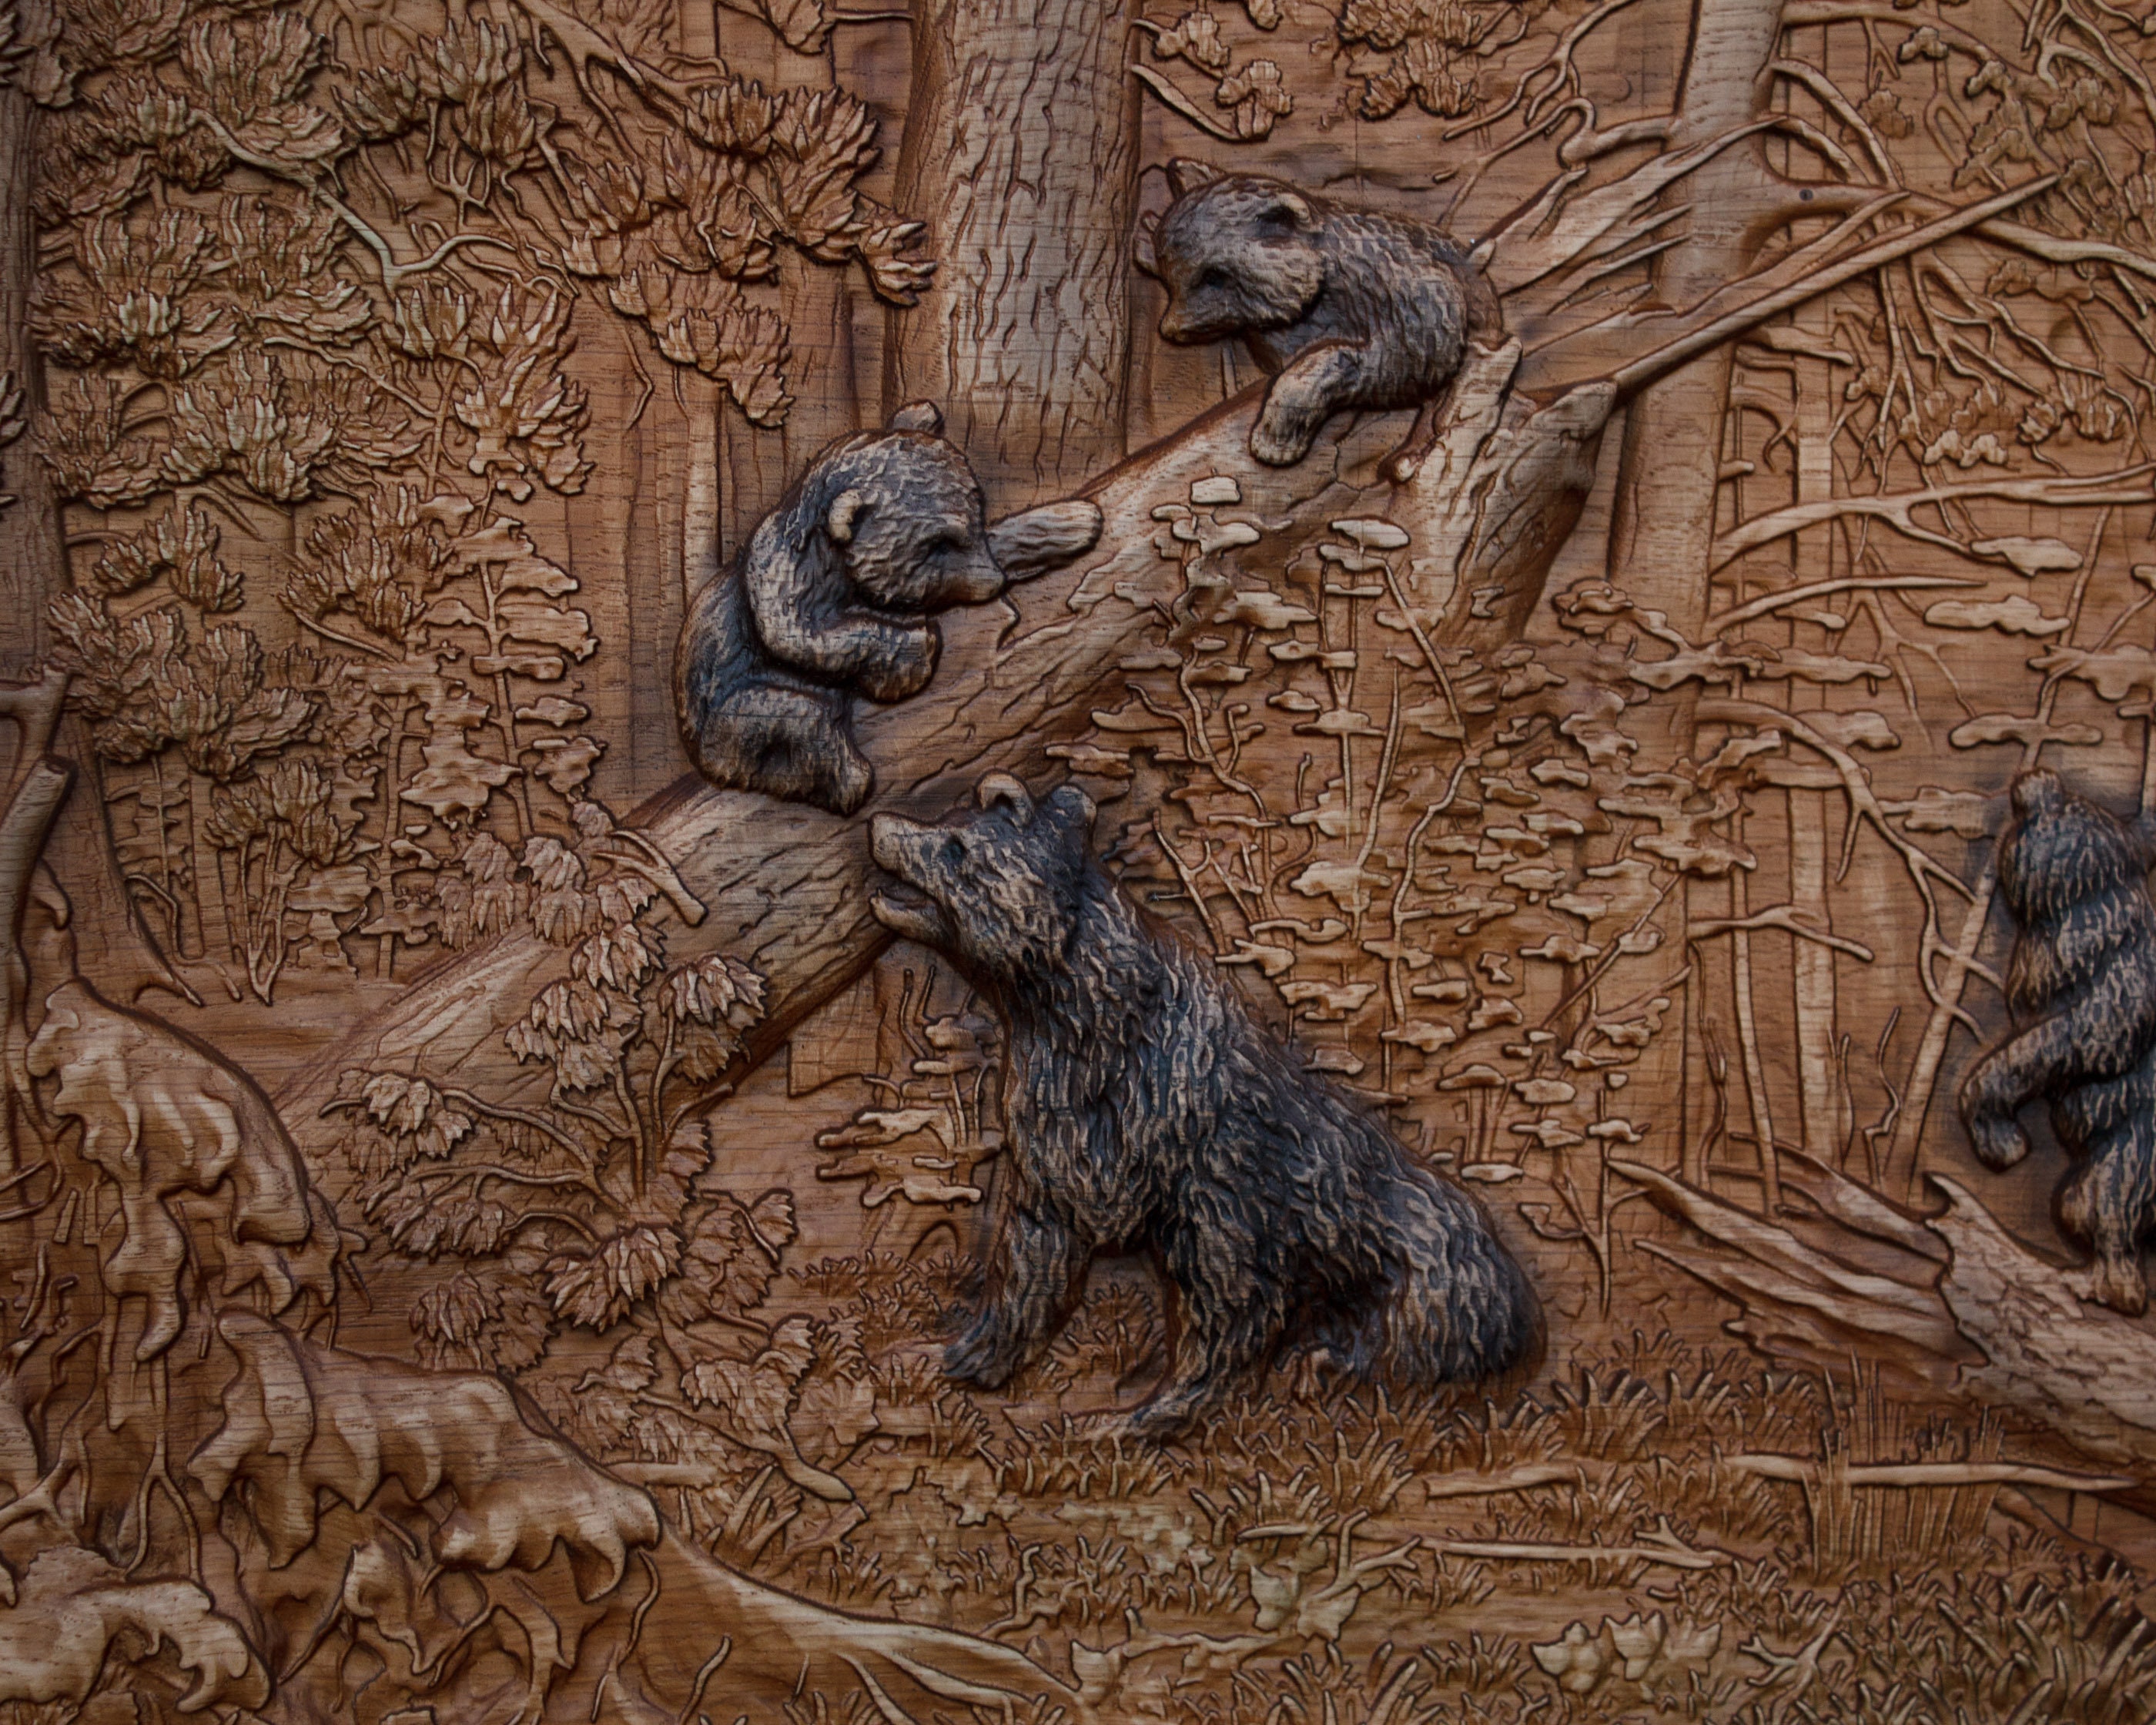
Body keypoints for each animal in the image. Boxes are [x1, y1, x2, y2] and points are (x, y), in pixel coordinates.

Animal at [674, 402, 1103, 816]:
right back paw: (849, 780)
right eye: (938, 544)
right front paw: (909, 657)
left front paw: (1074, 521)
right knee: (798, 718)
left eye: (976, 515)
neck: (837, 568)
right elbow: (798, 636)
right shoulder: (782, 573)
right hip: (728, 718)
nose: (994, 581)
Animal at [867, 771, 1540, 1437]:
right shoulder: (1062, 1152)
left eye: (956, 846)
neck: (1080, 1028)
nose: (879, 824)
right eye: (950, 823)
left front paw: (1137, 1418)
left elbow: (1226, 1313)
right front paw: (955, 1356)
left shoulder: (1215, 1182)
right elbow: (1028, 1276)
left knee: (1396, 1357)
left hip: (1426, 1286)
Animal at [1139, 158, 1502, 480]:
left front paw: (1275, 439)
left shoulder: (1413, 311)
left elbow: (1339, 362)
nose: (1171, 329)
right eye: (1172, 278)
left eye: (1214, 277)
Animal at [1958, 767, 2156, 1314]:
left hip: (2127, 1159)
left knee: (2113, 1220)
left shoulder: (2101, 1017)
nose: (2035, 778)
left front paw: (2000, 1138)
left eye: (2067, 806)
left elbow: (2016, 1061)